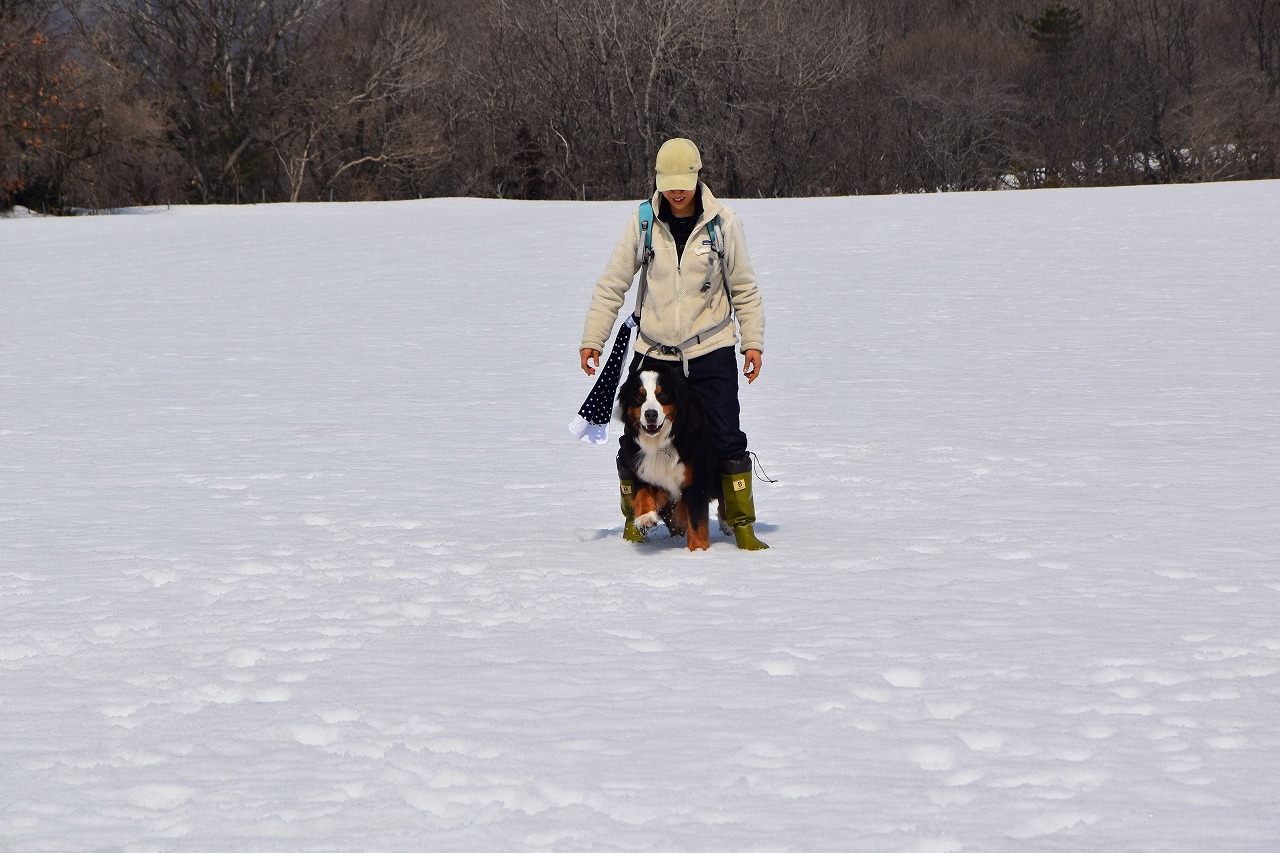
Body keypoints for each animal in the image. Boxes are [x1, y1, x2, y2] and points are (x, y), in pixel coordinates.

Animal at [616, 361, 727, 548]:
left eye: (662, 395)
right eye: (640, 396)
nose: (650, 414)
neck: (660, 443)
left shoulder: (697, 478)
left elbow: (697, 522)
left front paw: (698, 550)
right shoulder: (642, 467)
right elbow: (642, 492)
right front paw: (645, 517)